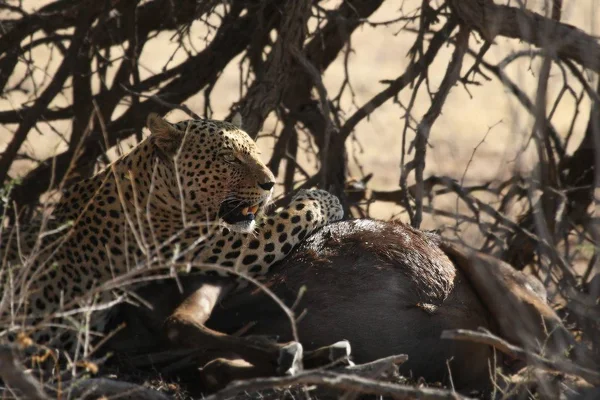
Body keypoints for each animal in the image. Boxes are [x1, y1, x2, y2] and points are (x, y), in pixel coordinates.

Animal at [0, 113, 344, 368]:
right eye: (229, 158)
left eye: (257, 154)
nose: (270, 183)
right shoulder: (227, 246)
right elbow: (293, 216)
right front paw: (324, 199)